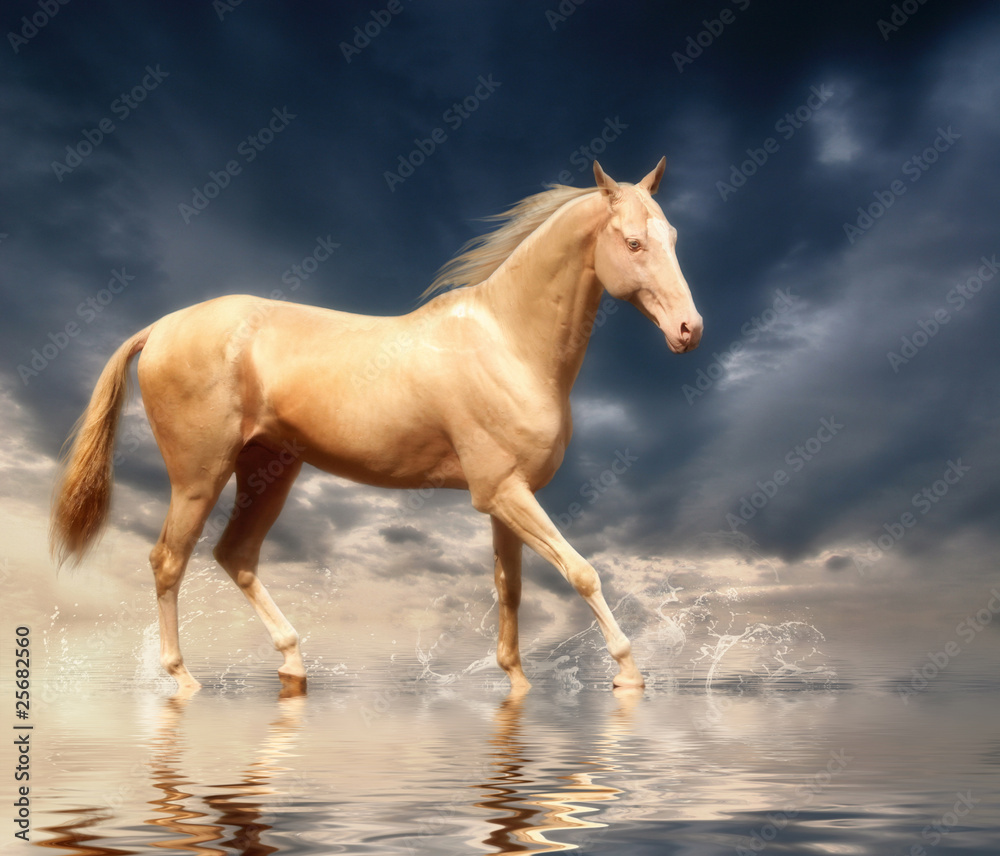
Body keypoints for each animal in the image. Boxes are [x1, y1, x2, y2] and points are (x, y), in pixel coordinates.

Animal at [50, 158, 703, 695]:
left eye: (673, 237)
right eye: (634, 242)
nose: (689, 330)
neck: (507, 341)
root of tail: (161, 327)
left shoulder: (508, 500)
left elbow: (511, 589)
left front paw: (516, 681)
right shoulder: (503, 492)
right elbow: (583, 572)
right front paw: (629, 672)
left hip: (271, 471)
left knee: (235, 555)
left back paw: (293, 664)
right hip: (198, 476)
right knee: (169, 560)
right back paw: (183, 679)